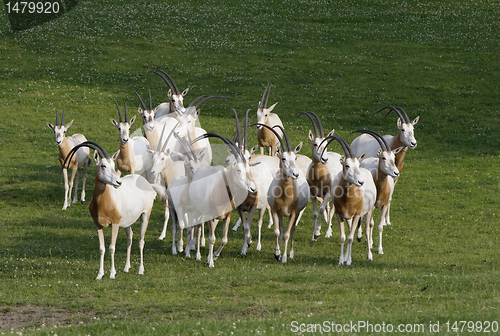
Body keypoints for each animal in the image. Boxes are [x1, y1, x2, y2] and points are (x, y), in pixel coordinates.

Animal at [63, 140, 156, 280]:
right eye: (103, 165)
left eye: (113, 165)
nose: (118, 182)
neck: (104, 202)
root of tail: (145, 182)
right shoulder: (97, 225)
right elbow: (102, 248)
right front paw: (100, 274)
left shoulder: (115, 224)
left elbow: (112, 247)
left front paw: (112, 273)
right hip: (127, 222)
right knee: (130, 237)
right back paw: (126, 267)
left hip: (145, 214)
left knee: (141, 241)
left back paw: (140, 270)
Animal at [320, 136, 376, 266]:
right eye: (347, 165)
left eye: (358, 164)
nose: (360, 182)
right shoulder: (339, 214)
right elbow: (343, 237)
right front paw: (341, 260)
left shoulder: (357, 215)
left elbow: (350, 238)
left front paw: (349, 260)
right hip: (348, 217)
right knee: (350, 230)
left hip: (368, 212)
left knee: (366, 230)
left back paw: (369, 256)